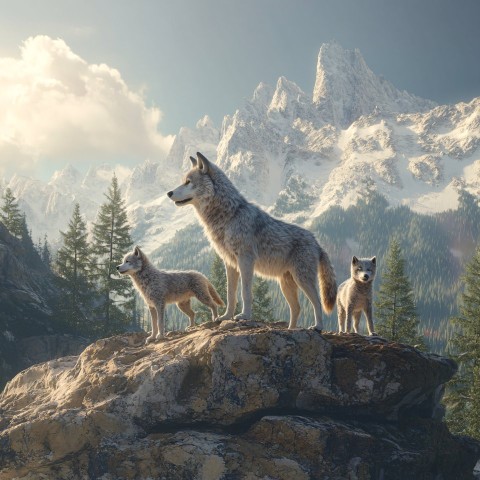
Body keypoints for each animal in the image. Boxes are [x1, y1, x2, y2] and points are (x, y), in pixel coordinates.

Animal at [167, 152, 336, 332]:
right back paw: (291, 330)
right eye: (183, 181)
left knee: (317, 302)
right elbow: (230, 294)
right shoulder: (230, 263)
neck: (230, 215)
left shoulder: (245, 260)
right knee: (297, 308)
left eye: (188, 182)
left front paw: (245, 316)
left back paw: (317, 327)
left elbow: (245, 292)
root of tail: (317, 243)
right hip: (286, 284)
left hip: (302, 279)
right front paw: (226, 316)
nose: (169, 193)